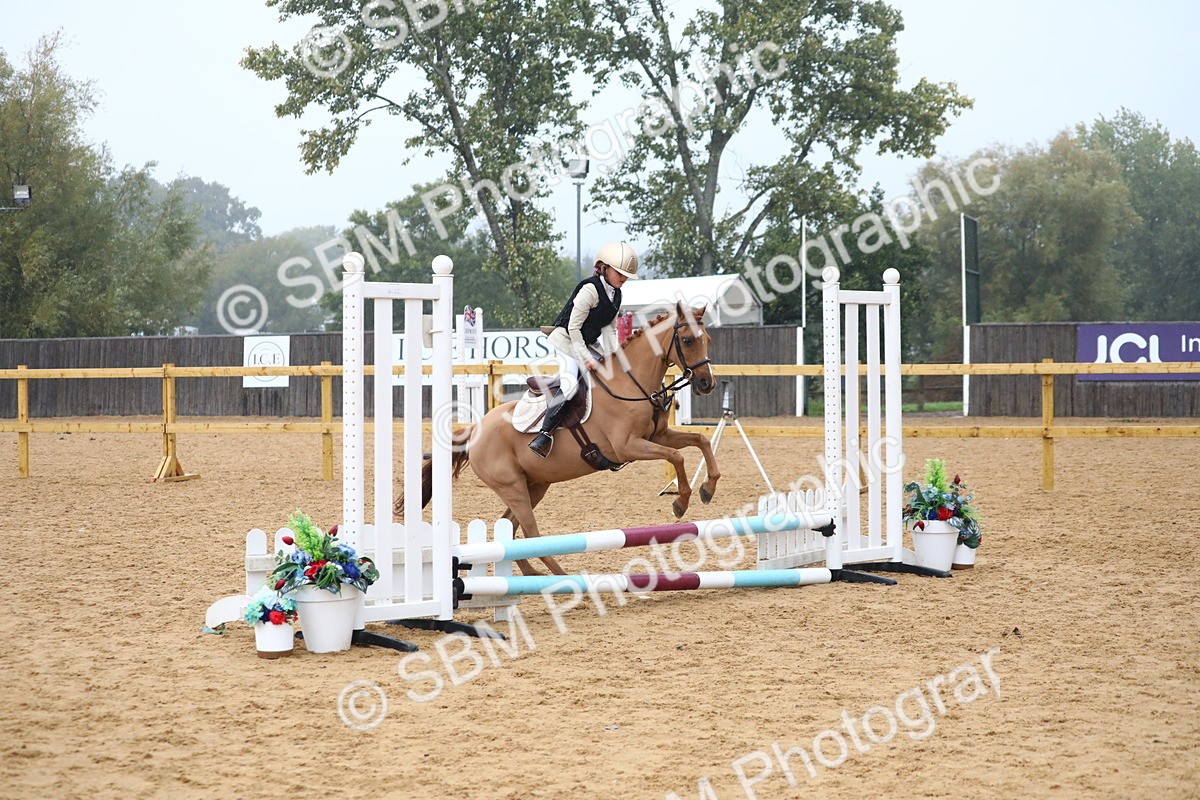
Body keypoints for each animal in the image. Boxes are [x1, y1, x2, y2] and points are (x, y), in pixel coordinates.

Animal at [399, 302, 719, 576]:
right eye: (687, 340)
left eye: (707, 339)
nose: (707, 384)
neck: (630, 385)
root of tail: (476, 430)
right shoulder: (627, 447)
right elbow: (676, 455)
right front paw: (681, 501)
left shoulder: (659, 435)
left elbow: (699, 442)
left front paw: (708, 488)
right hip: (513, 487)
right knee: (531, 531)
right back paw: (562, 578)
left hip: (535, 485)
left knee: (511, 526)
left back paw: (531, 575)